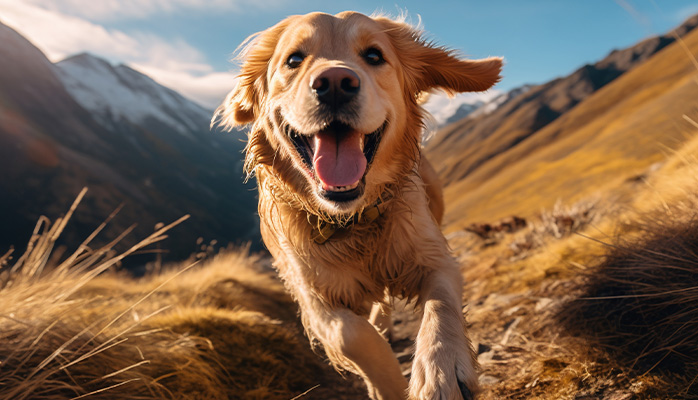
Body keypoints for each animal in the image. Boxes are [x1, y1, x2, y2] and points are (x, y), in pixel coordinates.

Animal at [212, 10, 500, 398]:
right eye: (294, 59)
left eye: (374, 55)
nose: (335, 82)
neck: (352, 219)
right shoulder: (312, 295)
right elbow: (352, 336)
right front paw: (388, 384)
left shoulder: (433, 257)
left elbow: (441, 306)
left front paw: (438, 373)